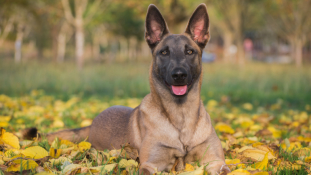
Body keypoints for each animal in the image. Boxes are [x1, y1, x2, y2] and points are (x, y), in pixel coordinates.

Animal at [23, 4, 230, 175]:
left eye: (190, 52)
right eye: (164, 52)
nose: (179, 75)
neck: (180, 118)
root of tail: (92, 123)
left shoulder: (215, 161)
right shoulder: (151, 164)